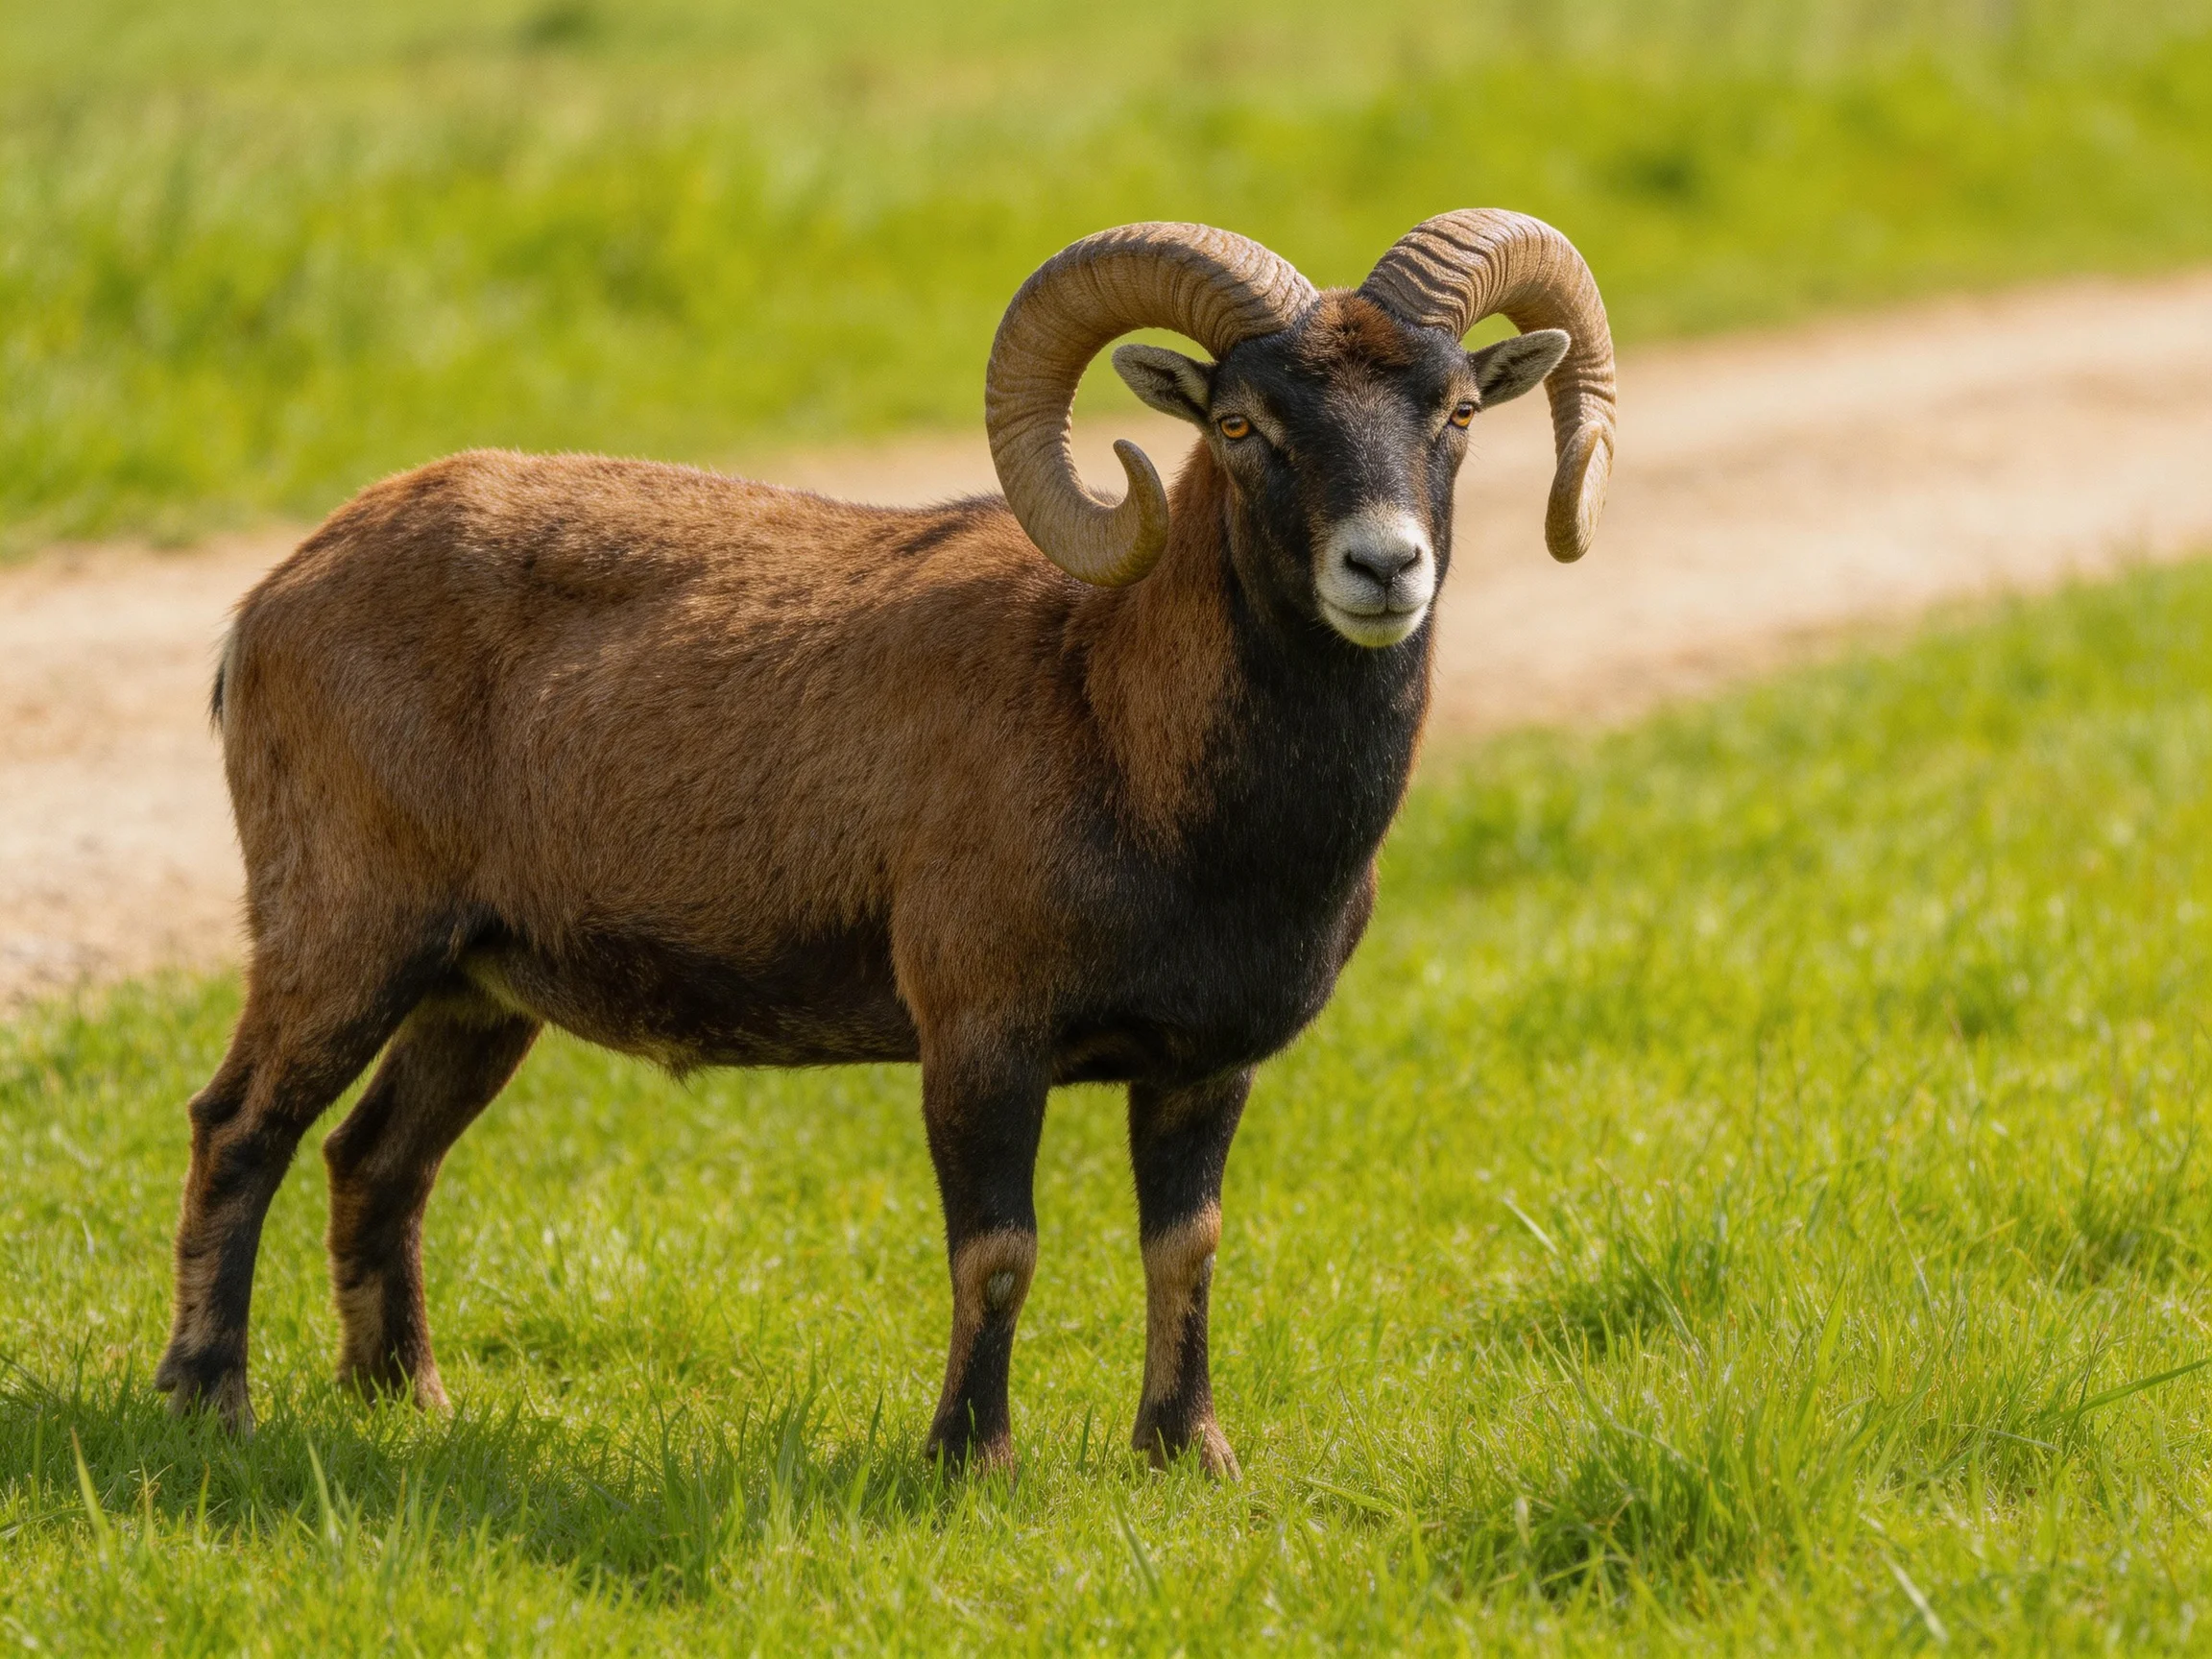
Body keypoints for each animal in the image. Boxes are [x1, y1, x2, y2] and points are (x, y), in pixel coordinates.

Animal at [155, 211, 1616, 1473]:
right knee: (243, 1128)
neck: (1122, 730)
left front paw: (1185, 1456)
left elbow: (1185, 1250)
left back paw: (408, 1401)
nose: (1384, 567)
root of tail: (268, 604)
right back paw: (208, 1401)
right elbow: (1000, 1253)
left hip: (475, 990)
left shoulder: (1205, 1066)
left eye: (1458, 414)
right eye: (1242, 423)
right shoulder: (980, 1037)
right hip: (346, 937)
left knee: (377, 1161)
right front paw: (970, 1461)